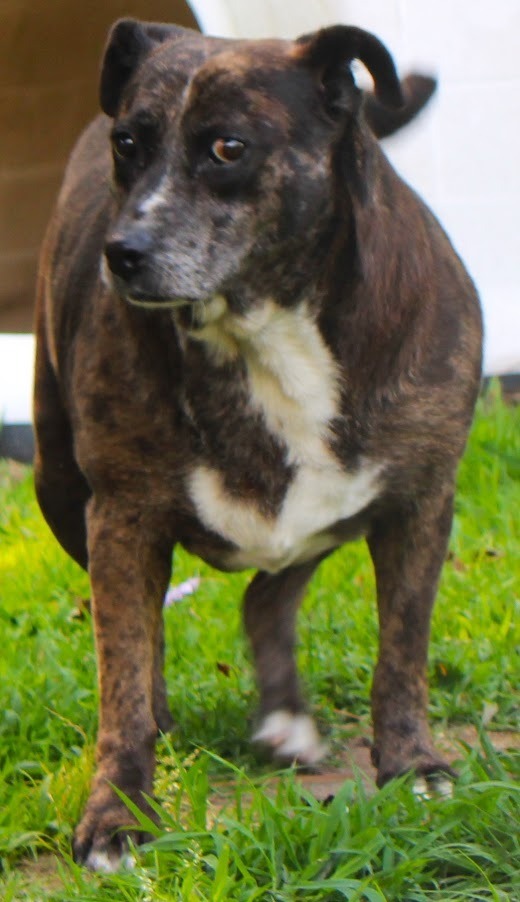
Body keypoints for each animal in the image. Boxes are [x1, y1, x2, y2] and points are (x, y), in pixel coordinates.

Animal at [33, 17, 484, 872]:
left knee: (269, 591)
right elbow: (123, 670)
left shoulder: (421, 500)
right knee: (170, 626)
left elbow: (402, 650)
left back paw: (285, 718)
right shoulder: (121, 516)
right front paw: (117, 813)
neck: (262, 327)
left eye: (228, 148)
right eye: (127, 143)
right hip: (57, 488)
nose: (122, 252)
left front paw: (413, 765)